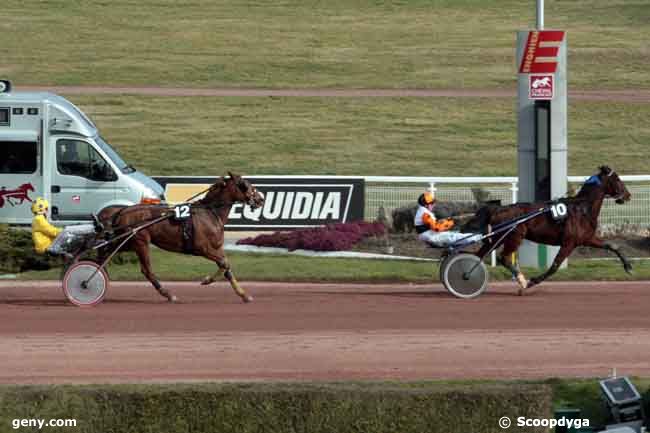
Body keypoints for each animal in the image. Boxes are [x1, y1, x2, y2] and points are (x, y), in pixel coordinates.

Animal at [97, 171, 264, 300]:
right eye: (244, 184)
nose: (260, 199)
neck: (210, 213)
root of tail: (122, 211)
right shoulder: (203, 248)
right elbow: (224, 264)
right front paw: (207, 280)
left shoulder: (216, 248)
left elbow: (226, 267)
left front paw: (243, 295)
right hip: (140, 242)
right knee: (146, 270)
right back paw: (167, 294)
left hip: (127, 242)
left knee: (104, 255)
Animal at [470, 165, 628, 294]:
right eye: (617, 178)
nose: (628, 195)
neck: (582, 209)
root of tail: (499, 209)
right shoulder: (569, 243)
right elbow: (554, 266)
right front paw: (531, 282)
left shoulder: (586, 239)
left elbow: (612, 246)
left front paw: (628, 265)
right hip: (514, 236)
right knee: (503, 257)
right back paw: (522, 281)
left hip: (497, 238)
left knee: (479, 255)